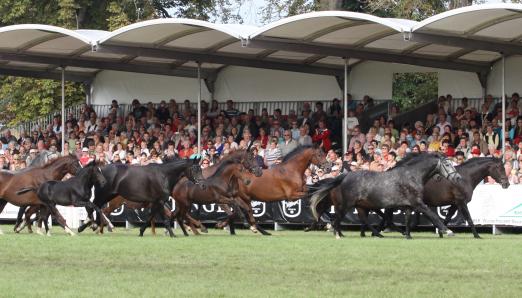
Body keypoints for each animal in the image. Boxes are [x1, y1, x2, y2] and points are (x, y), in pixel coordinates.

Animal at [308, 152, 460, 239]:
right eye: (447, 164)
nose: (457, 177)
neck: (412, 175)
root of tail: (344, 176)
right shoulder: (418, 203)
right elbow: (433, 215)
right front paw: (448, 231)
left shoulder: (409, 205)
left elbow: (407, 220)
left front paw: (408, 235)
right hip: (346, 204)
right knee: (336, 219)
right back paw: (338, 234)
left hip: (360, 205)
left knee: (359, 219)